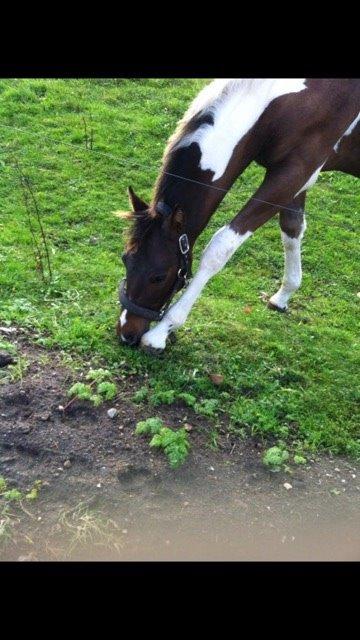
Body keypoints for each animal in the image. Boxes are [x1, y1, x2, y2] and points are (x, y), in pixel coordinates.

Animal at [116, 79, 358, 356]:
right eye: (126, 259)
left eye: (158, 276)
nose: (126, 333)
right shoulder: (295, 177)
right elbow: (292, 228)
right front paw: (284, 295)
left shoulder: (293, 175)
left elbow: (220, 247)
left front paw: (161, 333)